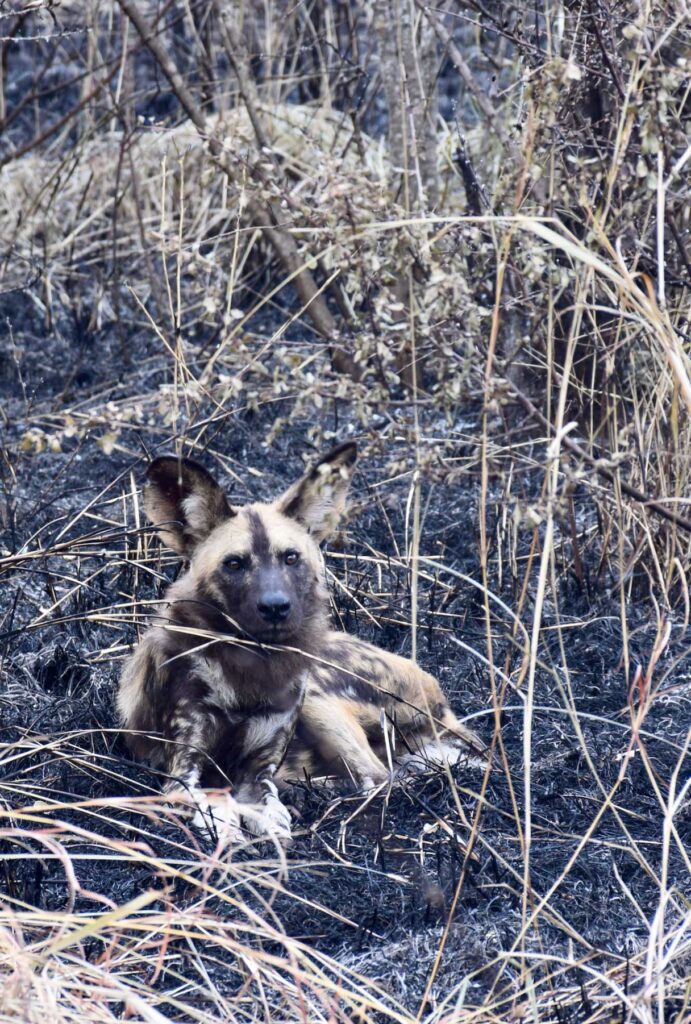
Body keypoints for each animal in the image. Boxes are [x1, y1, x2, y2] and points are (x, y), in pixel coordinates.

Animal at [118, 444, 487, 843]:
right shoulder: (183, 774)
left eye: (291, 557)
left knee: (379, 779)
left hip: (317, 700)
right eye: (234, 564)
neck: (250, 670)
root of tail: (439, 698)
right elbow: (217, 808)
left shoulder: (259, 774)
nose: (275, 607)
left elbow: (273, 819)